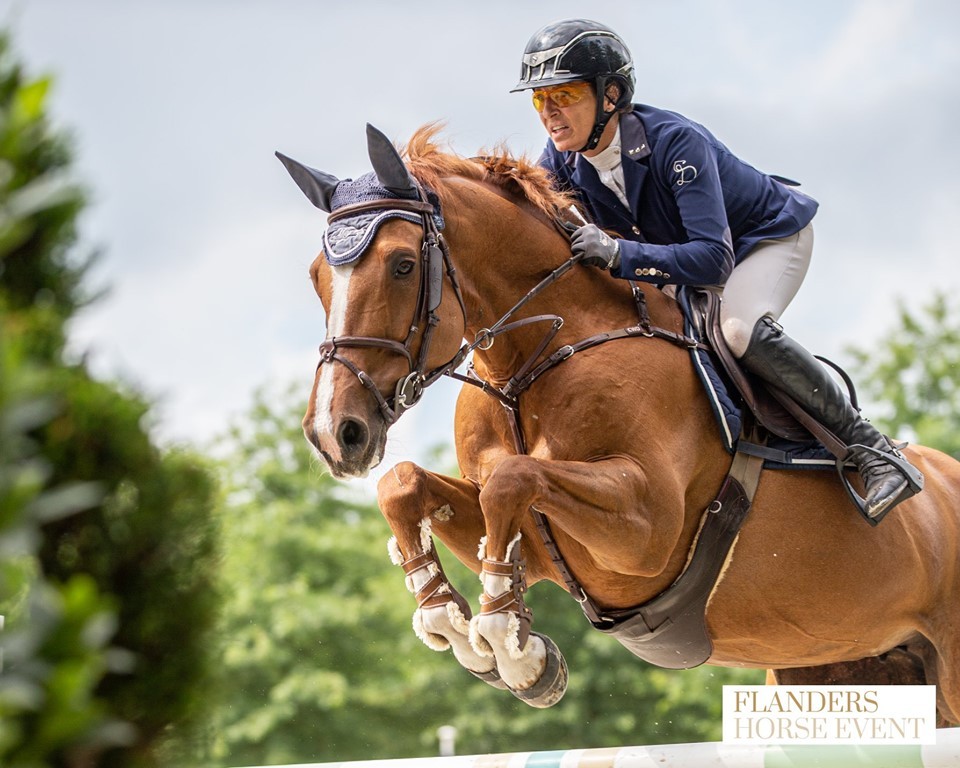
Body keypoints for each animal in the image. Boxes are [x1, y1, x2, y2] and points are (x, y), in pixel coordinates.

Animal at [276, 123, 960, 724]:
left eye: (400, 266)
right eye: (315, 276)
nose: (335, 433)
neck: (532, 363)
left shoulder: (648, 529)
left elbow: (514, 479)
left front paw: (511, 645)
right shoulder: (545, 543)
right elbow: (408, 485)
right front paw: (453, 621)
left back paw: (882, 471)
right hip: (836, 665)